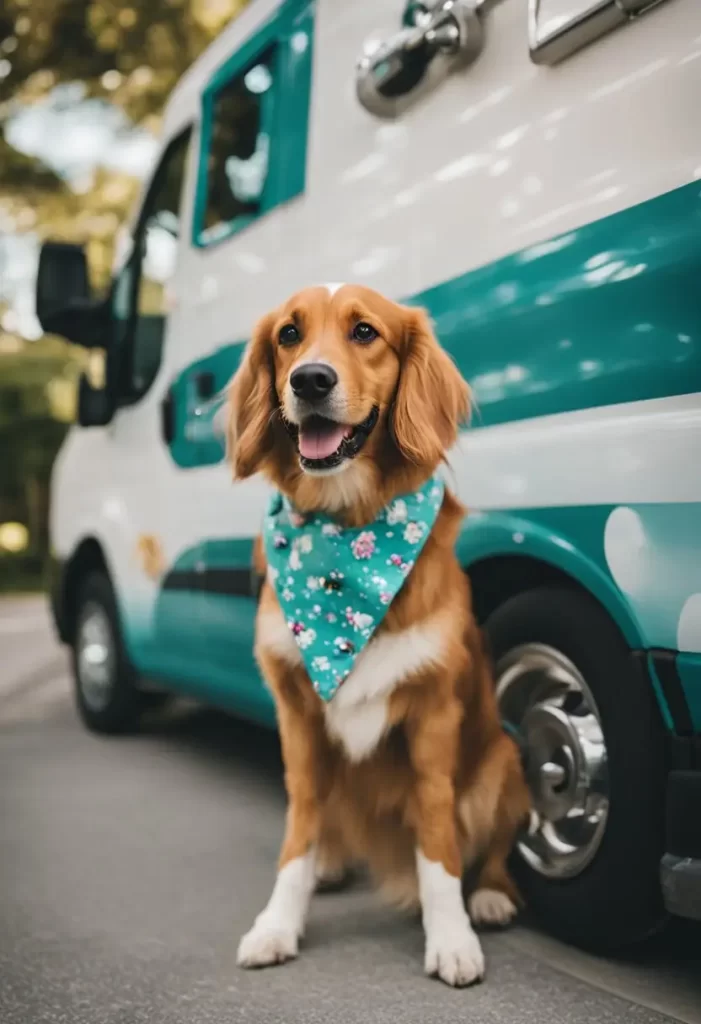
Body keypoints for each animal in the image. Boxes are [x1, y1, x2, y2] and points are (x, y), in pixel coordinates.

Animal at [227, 284, 528, 987]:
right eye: (288, 335)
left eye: (365, 332)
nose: (310, 379)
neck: (345, 533)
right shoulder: (298, 721)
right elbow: (298, 835)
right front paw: (277, 924)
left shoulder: (434, 719)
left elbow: (440, 847)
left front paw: (451, 937)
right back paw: (333, 866)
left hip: (503, 759)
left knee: (493, 848)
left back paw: (491, 896)